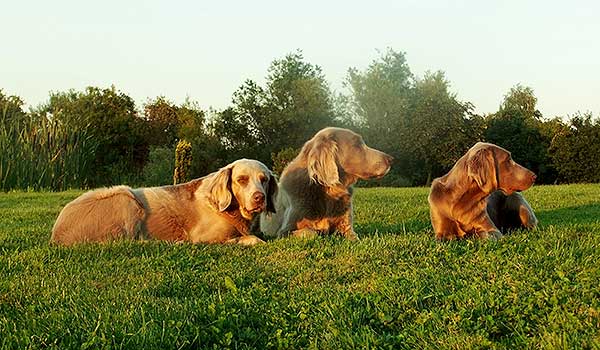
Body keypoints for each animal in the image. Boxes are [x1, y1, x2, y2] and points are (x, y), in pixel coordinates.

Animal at [51, 159, 276, 246]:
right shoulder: (203, 238)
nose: (259, 198)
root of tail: (55, 234)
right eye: (242, 180)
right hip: (127, 198)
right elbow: (252, 239)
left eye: (264, 179)